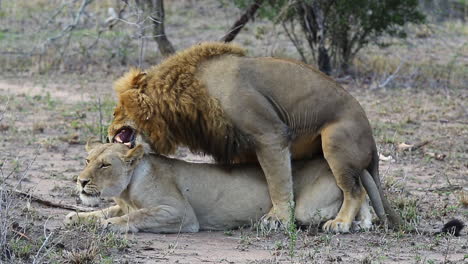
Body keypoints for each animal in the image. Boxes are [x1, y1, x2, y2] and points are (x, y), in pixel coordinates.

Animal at [66, 142, 374, 233]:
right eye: (87, 160)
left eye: (105, 165)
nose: (81, 181)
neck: (127, 190)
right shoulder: (121, 203)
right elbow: (104, 211)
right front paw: (78, 217)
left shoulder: (181, 214)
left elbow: (138, 214)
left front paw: (113, 225)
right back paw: (361, 223)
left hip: (306, 210)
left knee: (356, 193)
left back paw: (341, 224)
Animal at [108, 41, 400, 231]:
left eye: (115, 110)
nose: (109, 132)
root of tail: (372, 140)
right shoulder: (241, 144)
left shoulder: (270, 133)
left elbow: (278, 181)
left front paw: (278, 218)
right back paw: (361, 223)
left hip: (335, 140)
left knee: (354, 190)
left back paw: (340, 223)